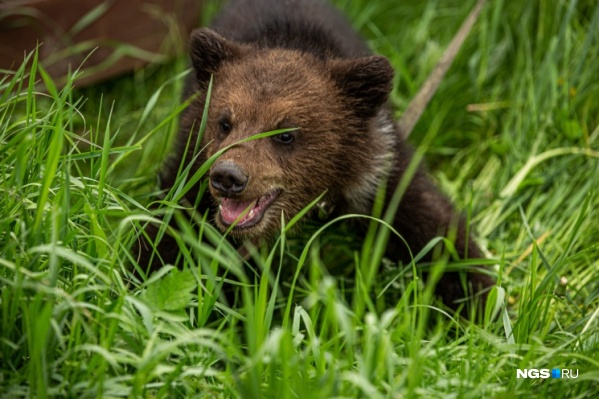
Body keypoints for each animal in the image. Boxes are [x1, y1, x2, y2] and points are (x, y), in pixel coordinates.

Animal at [138, 0, 494, 312]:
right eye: (224, 122)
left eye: (285, 133)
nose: (229, 176)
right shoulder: (192, 166)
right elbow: (168, 230)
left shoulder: (379, 169)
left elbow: (434, 227)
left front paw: (483, 302)